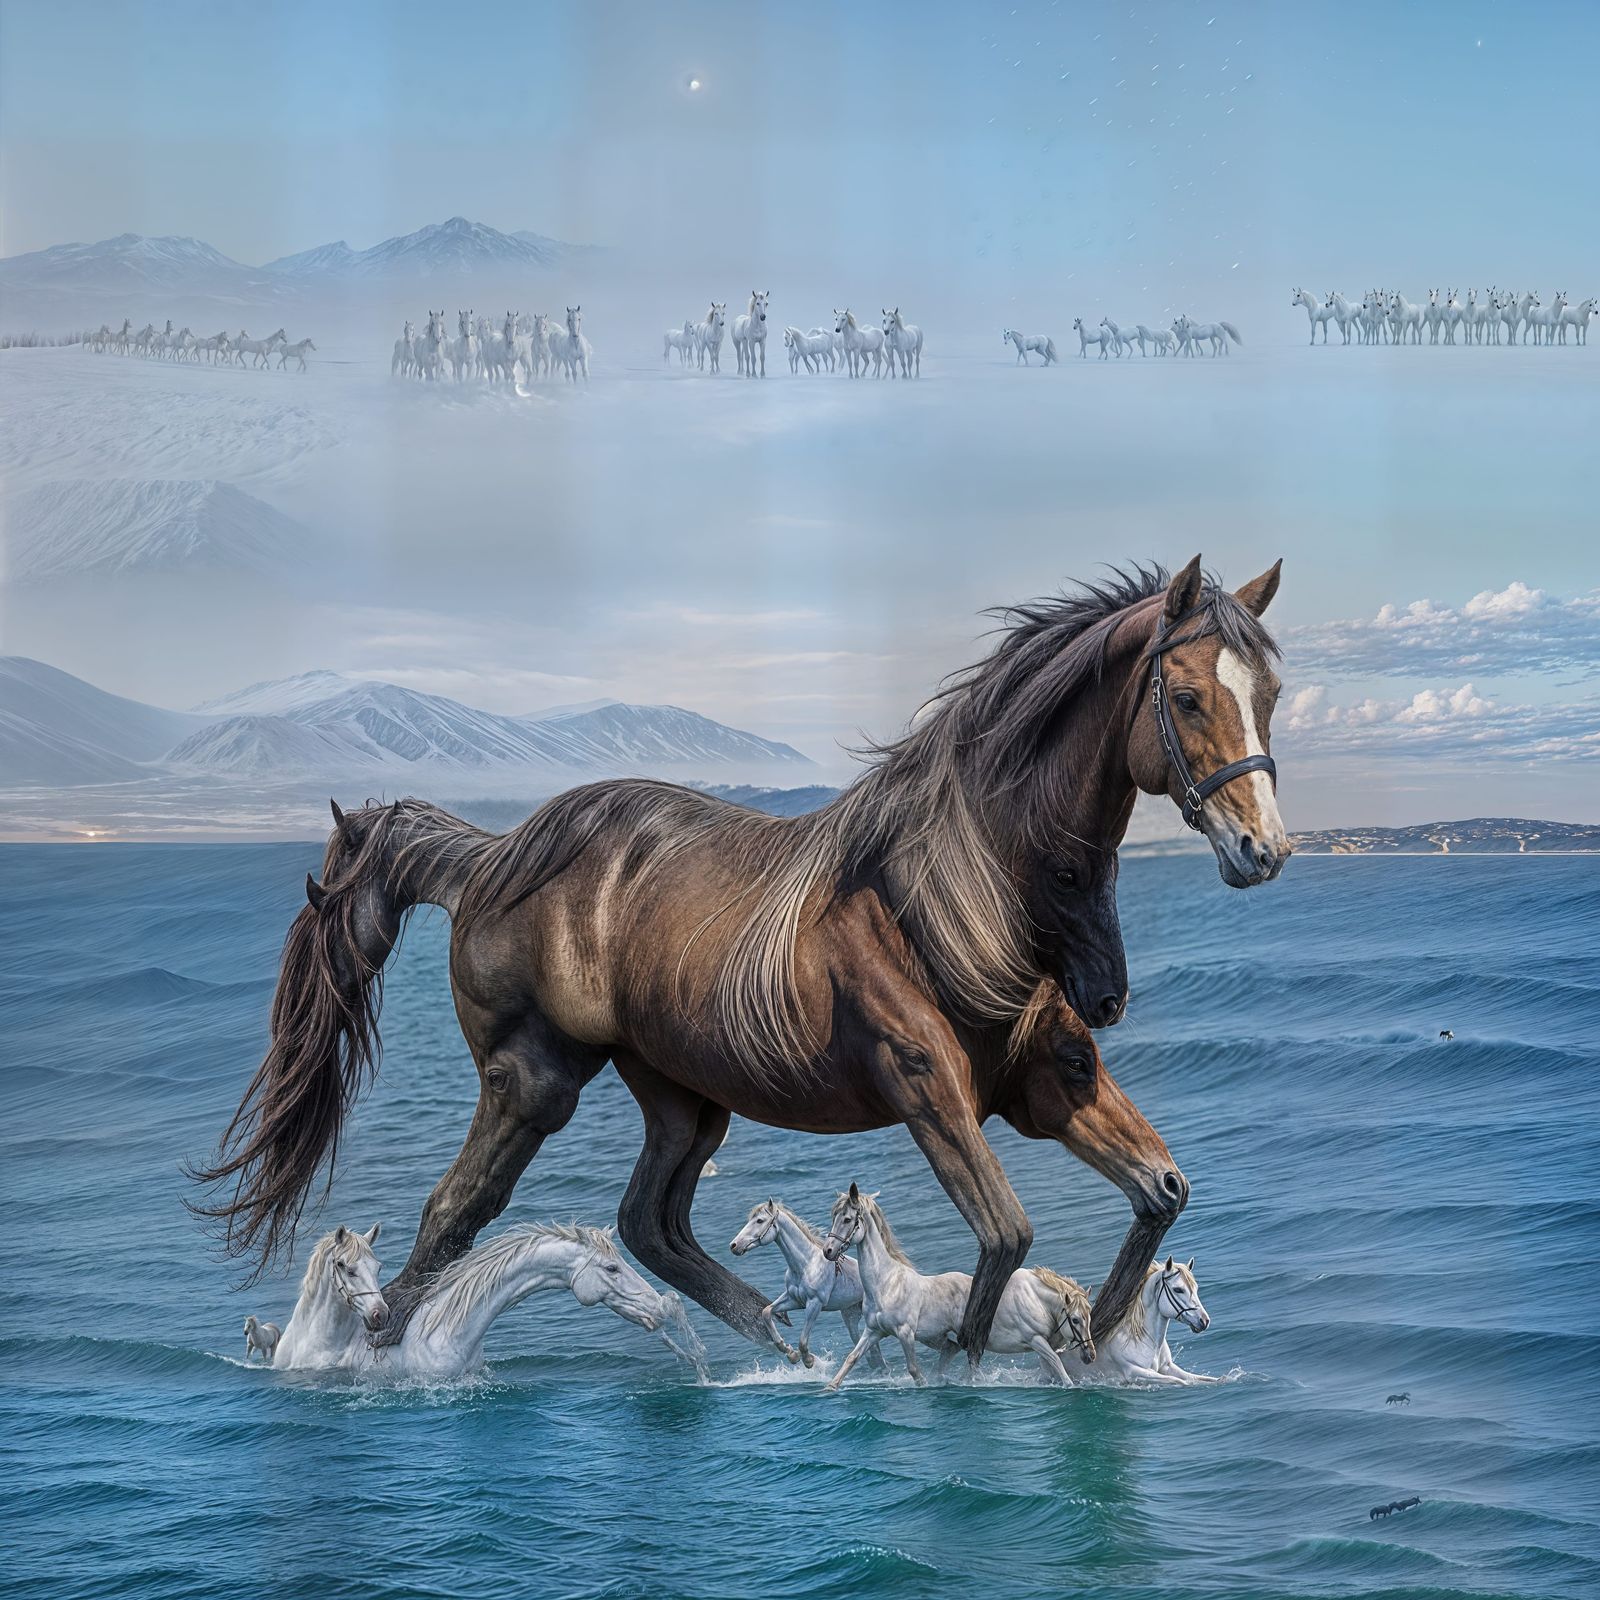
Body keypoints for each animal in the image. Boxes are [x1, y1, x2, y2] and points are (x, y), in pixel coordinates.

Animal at [729, 1198, 878, 1367]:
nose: (734, 1245)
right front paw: (789, 1351)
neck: (806, 1264)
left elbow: (802, 1340)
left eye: (759, 1220)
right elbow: (766, 1312)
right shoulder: (794, 1299)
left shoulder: (814, 1304)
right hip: (851, 1316)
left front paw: (807, 1360)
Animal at [820, 1185, 1097, 1388]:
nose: (828, 1251)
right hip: (944, 1340)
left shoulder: (905, 1333)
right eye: (834, 1217)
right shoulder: (873, 1331)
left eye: (847, 1219)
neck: (886, 1283)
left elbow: (913, 1370)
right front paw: (829, 1389)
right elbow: (851, 1359)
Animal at [1079, 1255, 1217, 1384]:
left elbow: (1202, 1378)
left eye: (1196, 1288)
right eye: (1178, 1289)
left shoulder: (1167, 1367)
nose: (1204, 1321)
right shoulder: (1136, 1372)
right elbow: (1179, 1381)